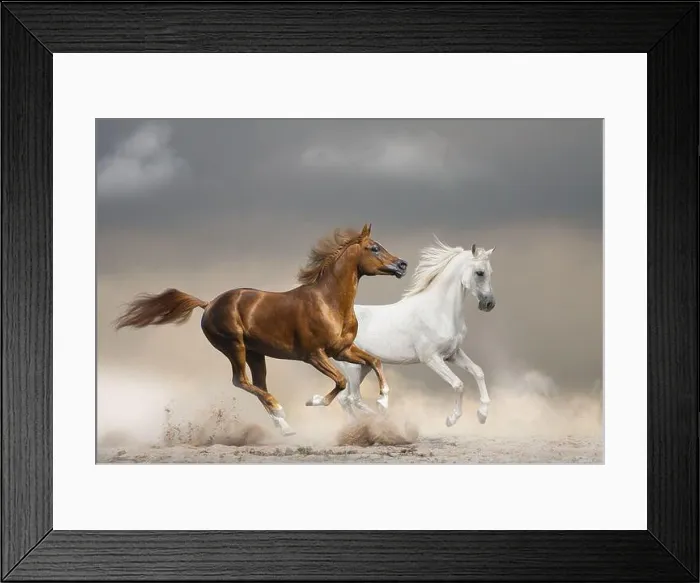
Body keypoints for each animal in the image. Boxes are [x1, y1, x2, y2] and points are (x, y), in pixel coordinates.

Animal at [113, 224, 408, 436]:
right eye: (374, 248)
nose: (402, 264)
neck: (329, 302)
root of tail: (209, 304)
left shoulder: (343, 350)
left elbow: (374, 361)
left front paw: (382, 403)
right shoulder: (314, 355)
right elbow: (341, 381)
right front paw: (313, 401)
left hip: (257, 353)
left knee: (257, 384)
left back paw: (285, 427)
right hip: (235, 346)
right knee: (241, 381)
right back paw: (280, 410)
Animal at [317, 236, 496, 427]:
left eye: (490, 272)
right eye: (479, 273)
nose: (489, 304)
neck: (439, 311)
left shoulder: (452, 354)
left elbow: (478, 371)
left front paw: (482, 415)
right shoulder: (431, 358)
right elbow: (458, 384)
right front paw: (452, 419)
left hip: (362, 367)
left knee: (345, 399)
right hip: (353, 368)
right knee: (354, 398)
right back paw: (382, 417)